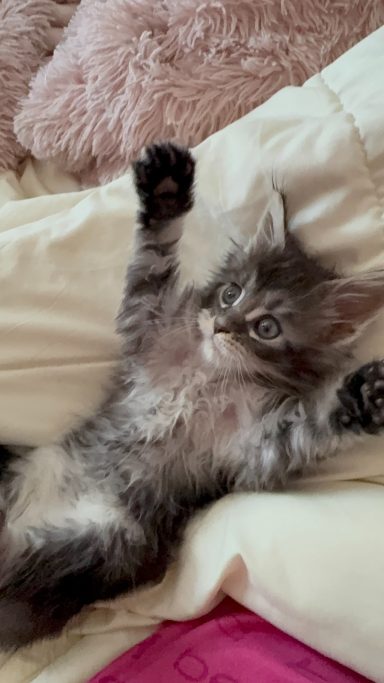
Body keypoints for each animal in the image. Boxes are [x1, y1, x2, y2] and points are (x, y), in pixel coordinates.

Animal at [0, 142, 384, 648]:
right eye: (230, 293)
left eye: (266, 327)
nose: (220, 325)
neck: (212, 373)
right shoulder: (148, 326)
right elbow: (153, 261)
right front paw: (165, 190)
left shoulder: (253, 450)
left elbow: (309, 424)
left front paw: (361, 396)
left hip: (96, 542)